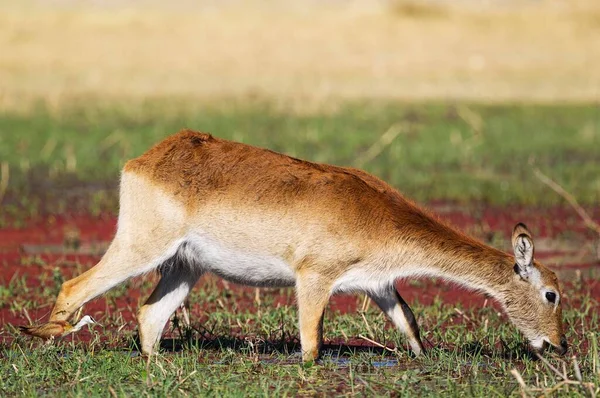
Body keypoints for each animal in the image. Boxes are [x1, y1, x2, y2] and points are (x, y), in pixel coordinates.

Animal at [37, 130, 568, 360]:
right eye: (552, 294)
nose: (559, 346)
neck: (377, 215)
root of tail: (146, 158)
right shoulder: (314, 277)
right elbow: (311, 346)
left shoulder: (378, 285)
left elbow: (411, 325)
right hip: (141, 246)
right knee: (73, 286)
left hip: (185, 266)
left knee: (149, 315)